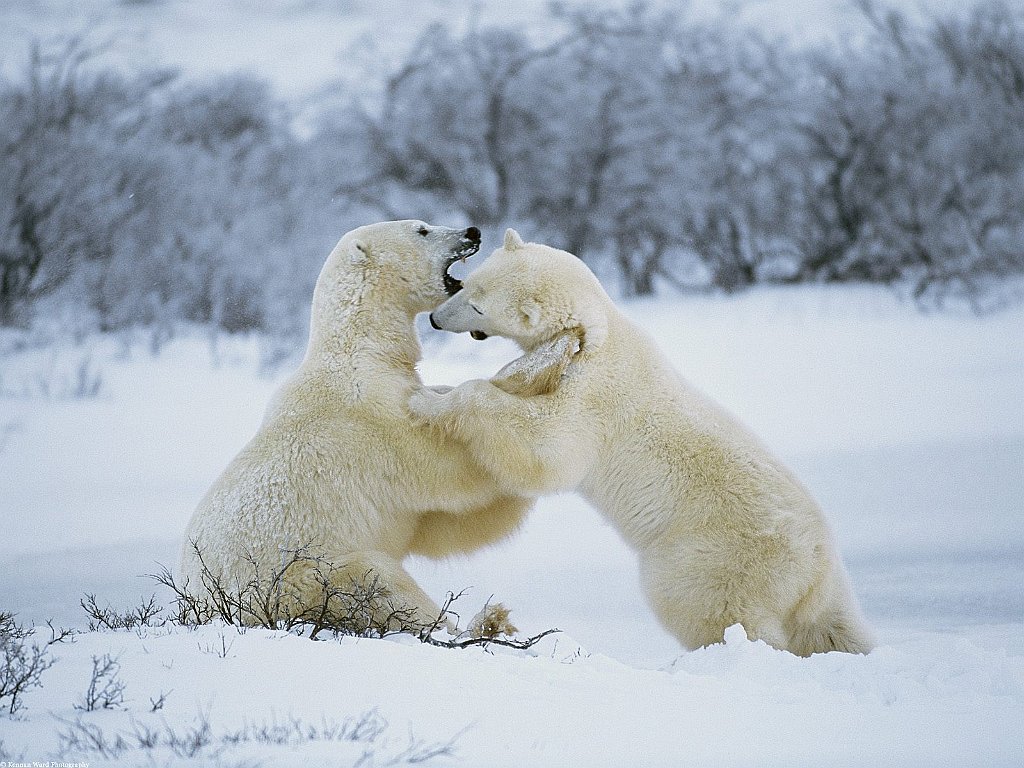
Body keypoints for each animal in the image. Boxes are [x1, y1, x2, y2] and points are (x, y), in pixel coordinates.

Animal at [180, 222, 532, 630]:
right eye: (422, 229)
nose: (472, 232)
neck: (361, 351)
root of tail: (198, 606)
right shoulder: (374, 420)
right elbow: (447, 469)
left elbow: (439, 526)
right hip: (300, 578)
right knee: (376, 582)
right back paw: (477, 621)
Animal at [411, 228, 876, 655]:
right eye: (468, 283)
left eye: (477, 305)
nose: (436, 320)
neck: (598, 333)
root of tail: (818, 567)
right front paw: (434, 388)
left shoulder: (594, 398)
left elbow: (547, 448)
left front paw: (429, 402)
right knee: (830, 627)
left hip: (714, 555)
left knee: (708, 607)